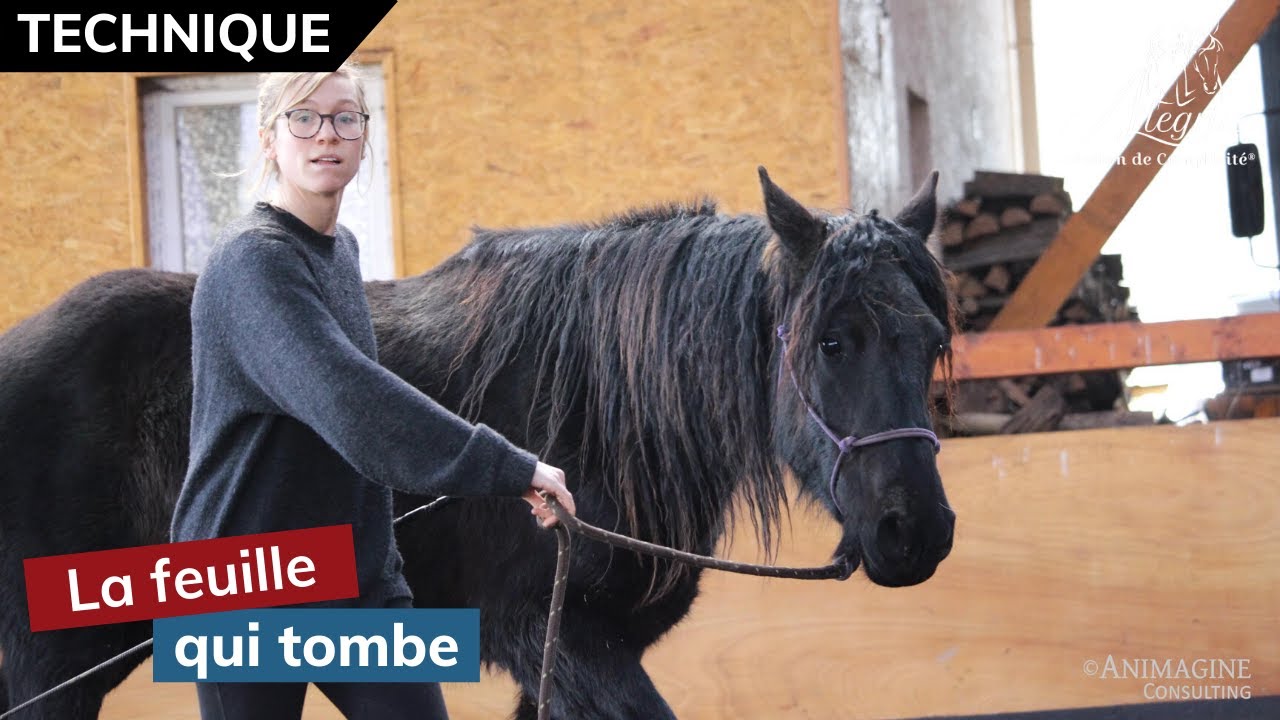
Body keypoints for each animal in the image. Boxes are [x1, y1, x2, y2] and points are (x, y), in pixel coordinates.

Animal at [0, 168, 956, 719]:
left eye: (930, 341)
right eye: (831, 342)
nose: (916, 532)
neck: (602, 402)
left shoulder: (571, 654)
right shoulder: (559, 640)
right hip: (47, 670)